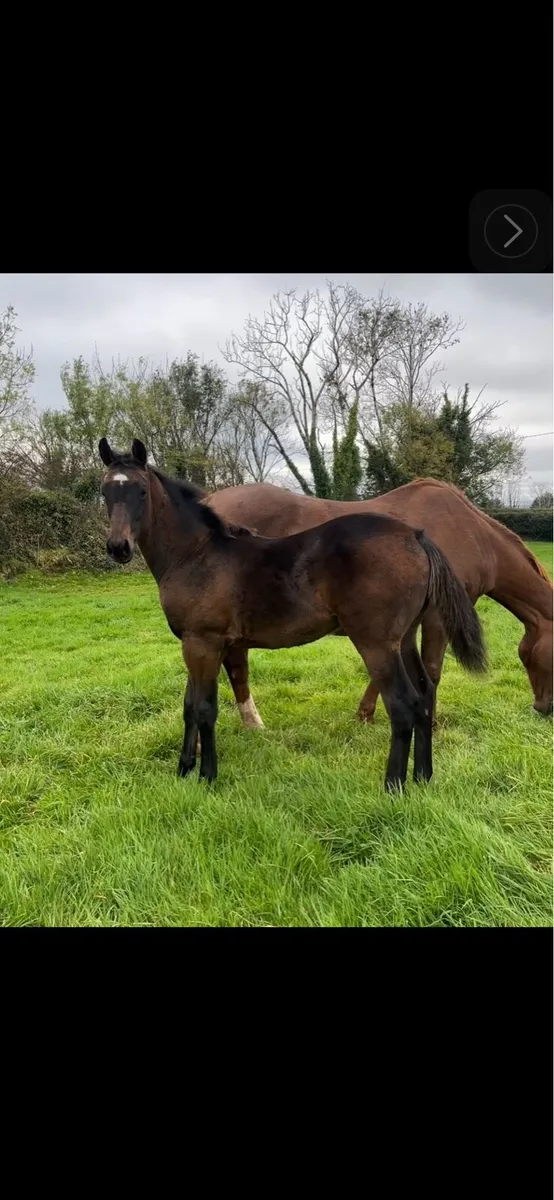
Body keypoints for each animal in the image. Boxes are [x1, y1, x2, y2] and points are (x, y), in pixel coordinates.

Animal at [98, 438, 486, 792]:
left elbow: (205, 708)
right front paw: (183, 770)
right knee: (423, 697)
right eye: (105, 491)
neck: (196, 554)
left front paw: (207, 777)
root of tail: (416, 536)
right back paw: (423, 777)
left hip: (376, 644)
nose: (118, 548)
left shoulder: (203, 642)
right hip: (403, 640)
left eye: (141, 491)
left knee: (403, 705)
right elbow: (189, 705)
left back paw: (393, 786)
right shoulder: (196, 645)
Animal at [202, 477, 553, 726]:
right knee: (236, 665)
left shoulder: (395, 623)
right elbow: (433, 671)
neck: (472, 535)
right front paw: (431, 724)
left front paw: (365, 714)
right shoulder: (437, 618)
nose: (543, 708)